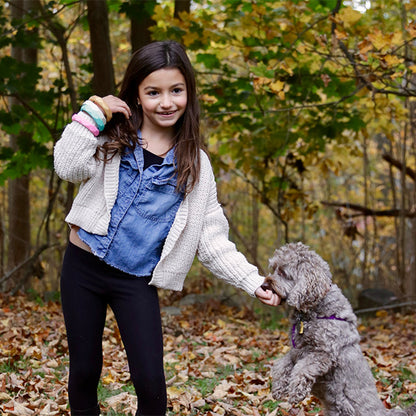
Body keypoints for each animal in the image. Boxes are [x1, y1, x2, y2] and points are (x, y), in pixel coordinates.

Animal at [264, 242, 416, 414]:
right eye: (273, 268)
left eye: (282, 272)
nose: (263, 284)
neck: (313, 312)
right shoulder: (296, 351)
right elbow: (280, 364)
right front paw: (278, 388)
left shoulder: (324, 354)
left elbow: (302, 368)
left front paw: (296, 391)